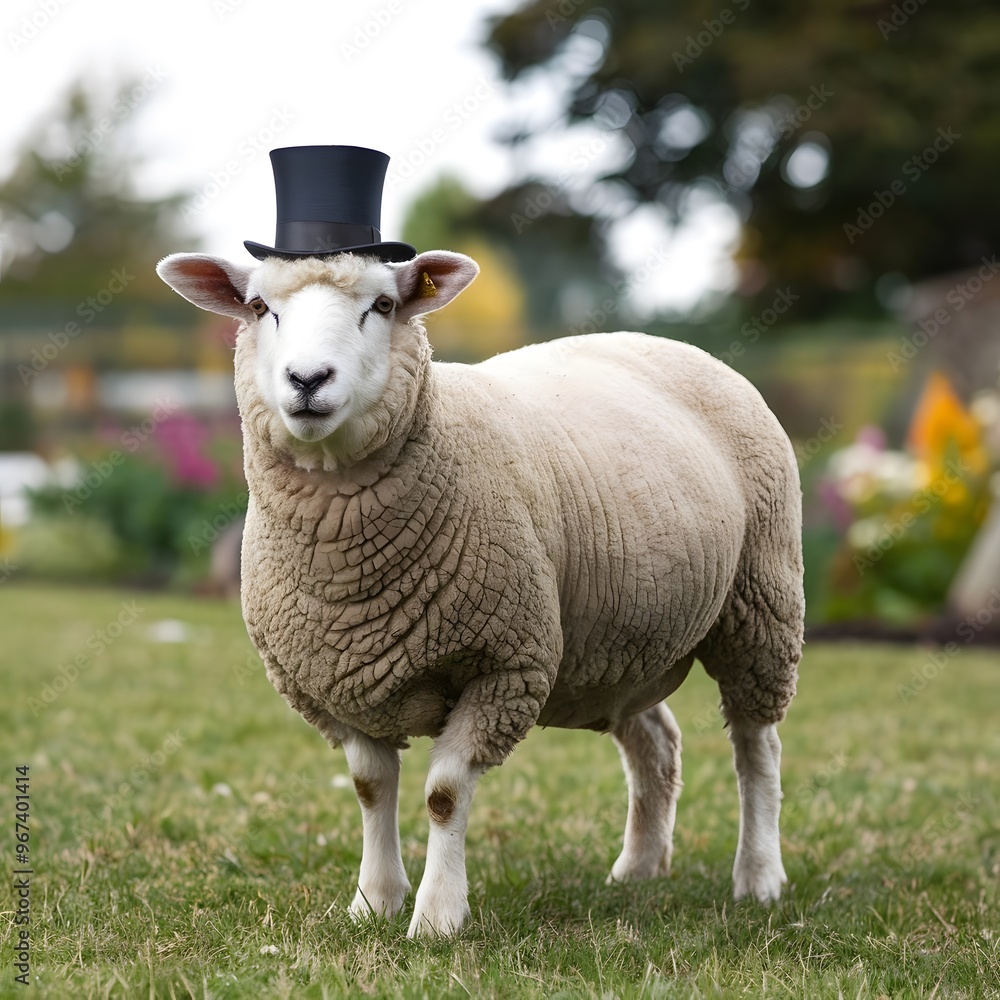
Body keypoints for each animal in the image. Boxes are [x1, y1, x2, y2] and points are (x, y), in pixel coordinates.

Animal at [156, 248, 804, 938]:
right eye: (258, 307)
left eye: (383, 305)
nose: (308, 379)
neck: (349, 573)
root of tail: (670, 343)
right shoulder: (337, 680)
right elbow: (370, 789)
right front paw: (373, 902)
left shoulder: (503, 665)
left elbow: (443, 795)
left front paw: (437, 917)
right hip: (615, 642)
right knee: (655, 743)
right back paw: (639, 869)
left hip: (760, 602)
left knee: (756, 747)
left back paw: (758, 876)